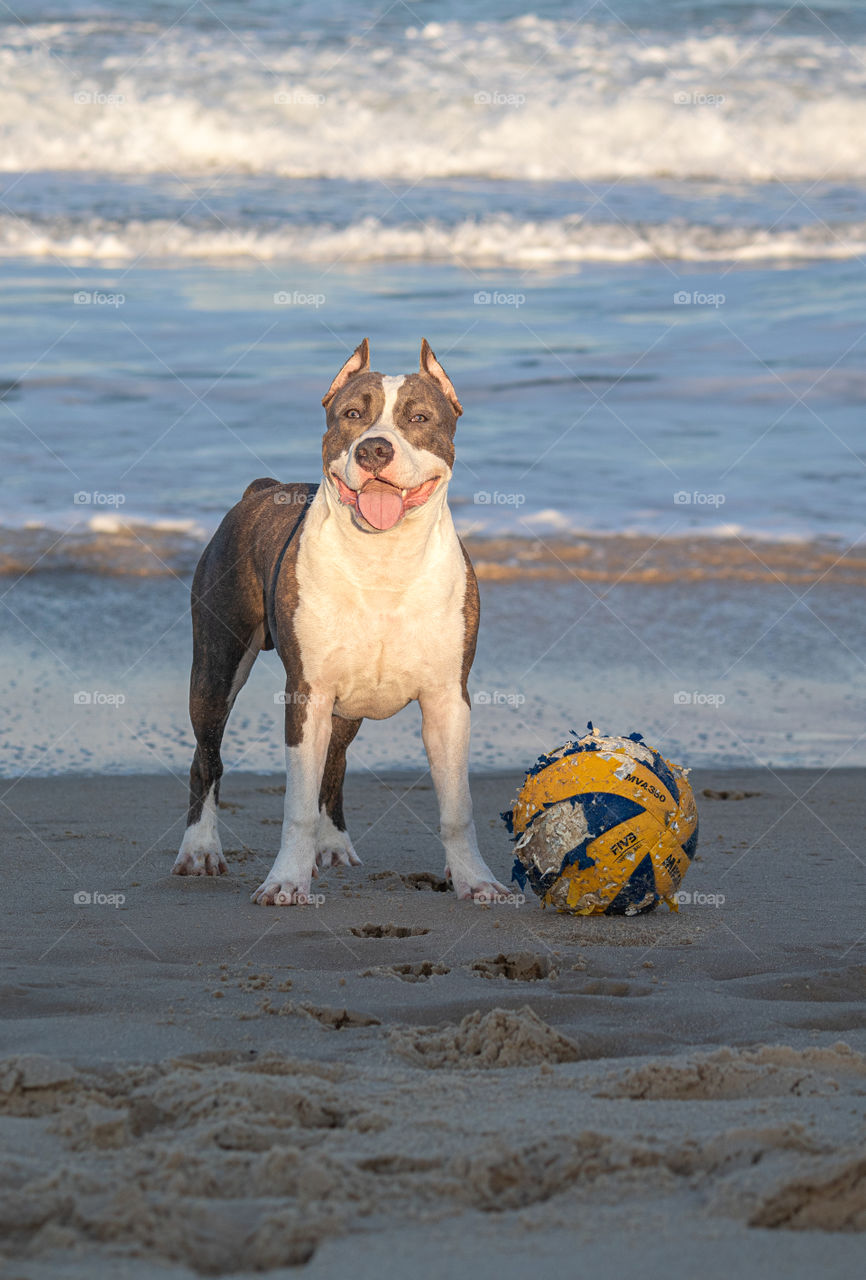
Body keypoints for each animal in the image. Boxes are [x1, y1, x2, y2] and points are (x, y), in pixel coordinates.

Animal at [170, 335, 506, 906]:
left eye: (419, 417)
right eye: (352, 415)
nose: (374, 449)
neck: (384, 559)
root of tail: (261, 489)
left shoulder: (447, 700)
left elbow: (457, 807)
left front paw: (474, 880)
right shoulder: (307, 694)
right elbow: (296, 806)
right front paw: (285, 881)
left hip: (345, 708)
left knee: (335, 763)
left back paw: (332, 846)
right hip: (216, 668)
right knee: (206, 758)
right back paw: (200, 850)